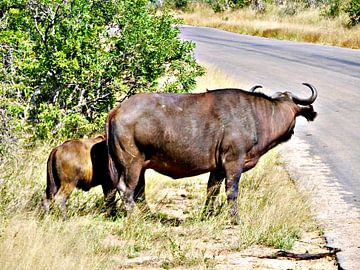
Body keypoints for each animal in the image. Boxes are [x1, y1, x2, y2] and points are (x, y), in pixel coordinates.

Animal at [105, 83, 316, 221]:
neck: (257, 116)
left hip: (140, 166)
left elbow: (212, 191)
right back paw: (136, 218)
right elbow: (231, 191)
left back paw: (149, 216)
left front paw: (207, 215)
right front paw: (235, 219)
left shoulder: (218, 169)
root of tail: (117, 109)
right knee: (126, 189)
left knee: (138, 191)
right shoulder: (233, 162)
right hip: (131, 164)